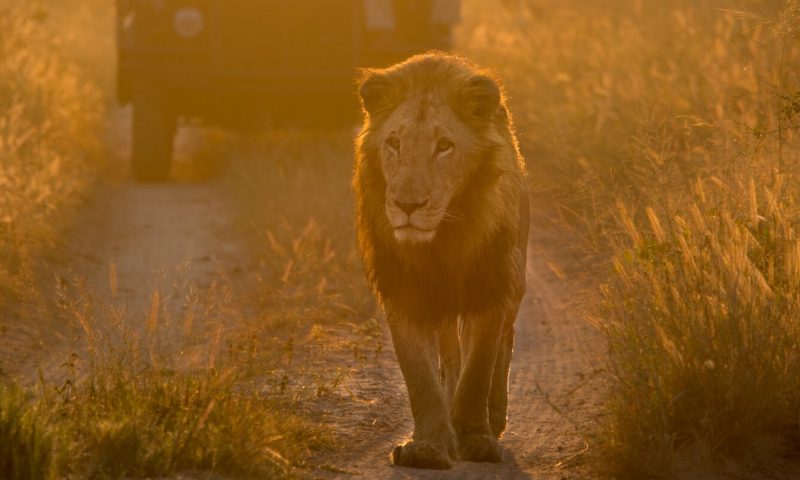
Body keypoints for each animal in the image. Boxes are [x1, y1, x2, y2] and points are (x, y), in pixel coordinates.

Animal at [353, 52, 529, 469]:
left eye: (445, 146)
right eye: (394, 143)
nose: (408, 206)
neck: (441, 243)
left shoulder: (490, 288)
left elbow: (478, 371)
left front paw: (476, 438)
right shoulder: (403, 294)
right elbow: (421, 377)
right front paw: (428, 446)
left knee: (504, 347)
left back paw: (495, 417)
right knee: (449, 356)